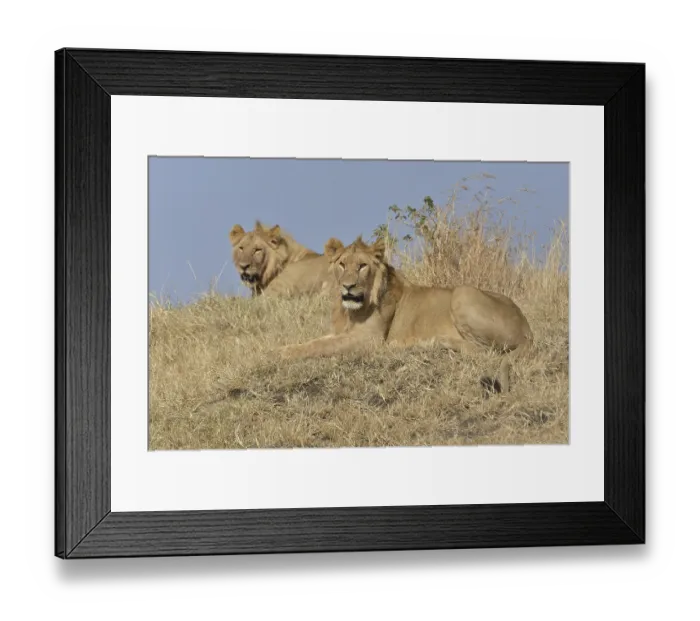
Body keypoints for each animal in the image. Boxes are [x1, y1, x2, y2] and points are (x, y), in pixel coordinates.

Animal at [279, 236, 533, 392]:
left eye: (362, 266)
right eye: (342, 264)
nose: (348, 286)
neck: (350, 311)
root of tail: (527, 328)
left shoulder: (368, 340)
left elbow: (320, 346)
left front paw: (281, 355)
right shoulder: (341, 332)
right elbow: (313, 342)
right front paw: (282, 350)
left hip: (463, 292)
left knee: (486, 351)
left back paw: (430, 342)